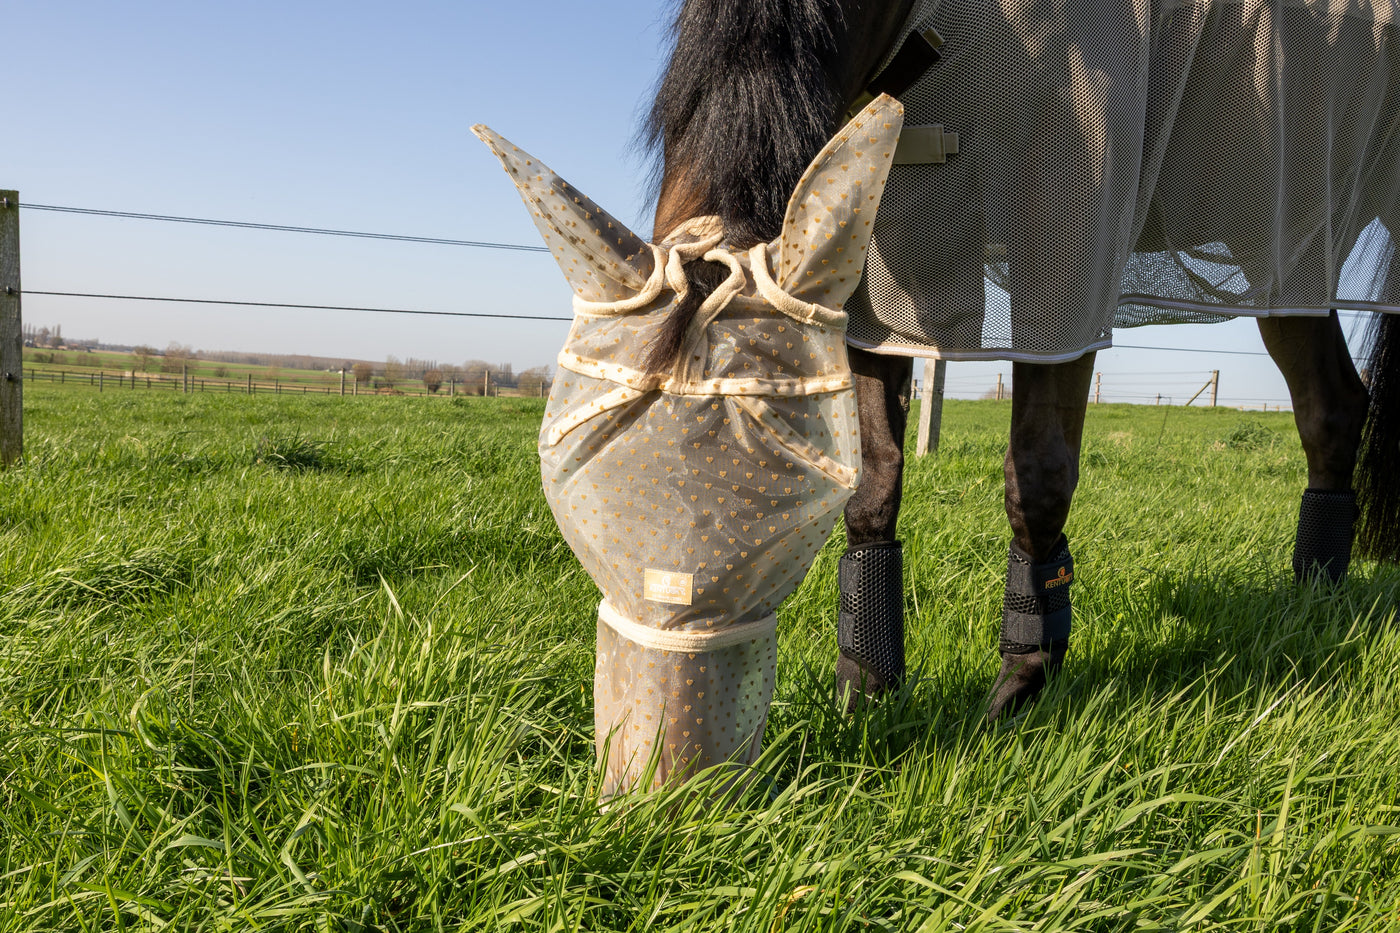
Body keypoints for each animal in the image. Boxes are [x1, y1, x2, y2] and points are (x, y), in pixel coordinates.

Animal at [644, 0, 1400, 720]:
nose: (683, 732)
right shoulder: (877, 288)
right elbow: (874, 482)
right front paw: (866, 689)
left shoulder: (1067, 266)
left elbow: (1038, 478)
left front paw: (1024, 684)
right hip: (1286, 254)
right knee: (1332, 407)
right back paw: (1314, 606)